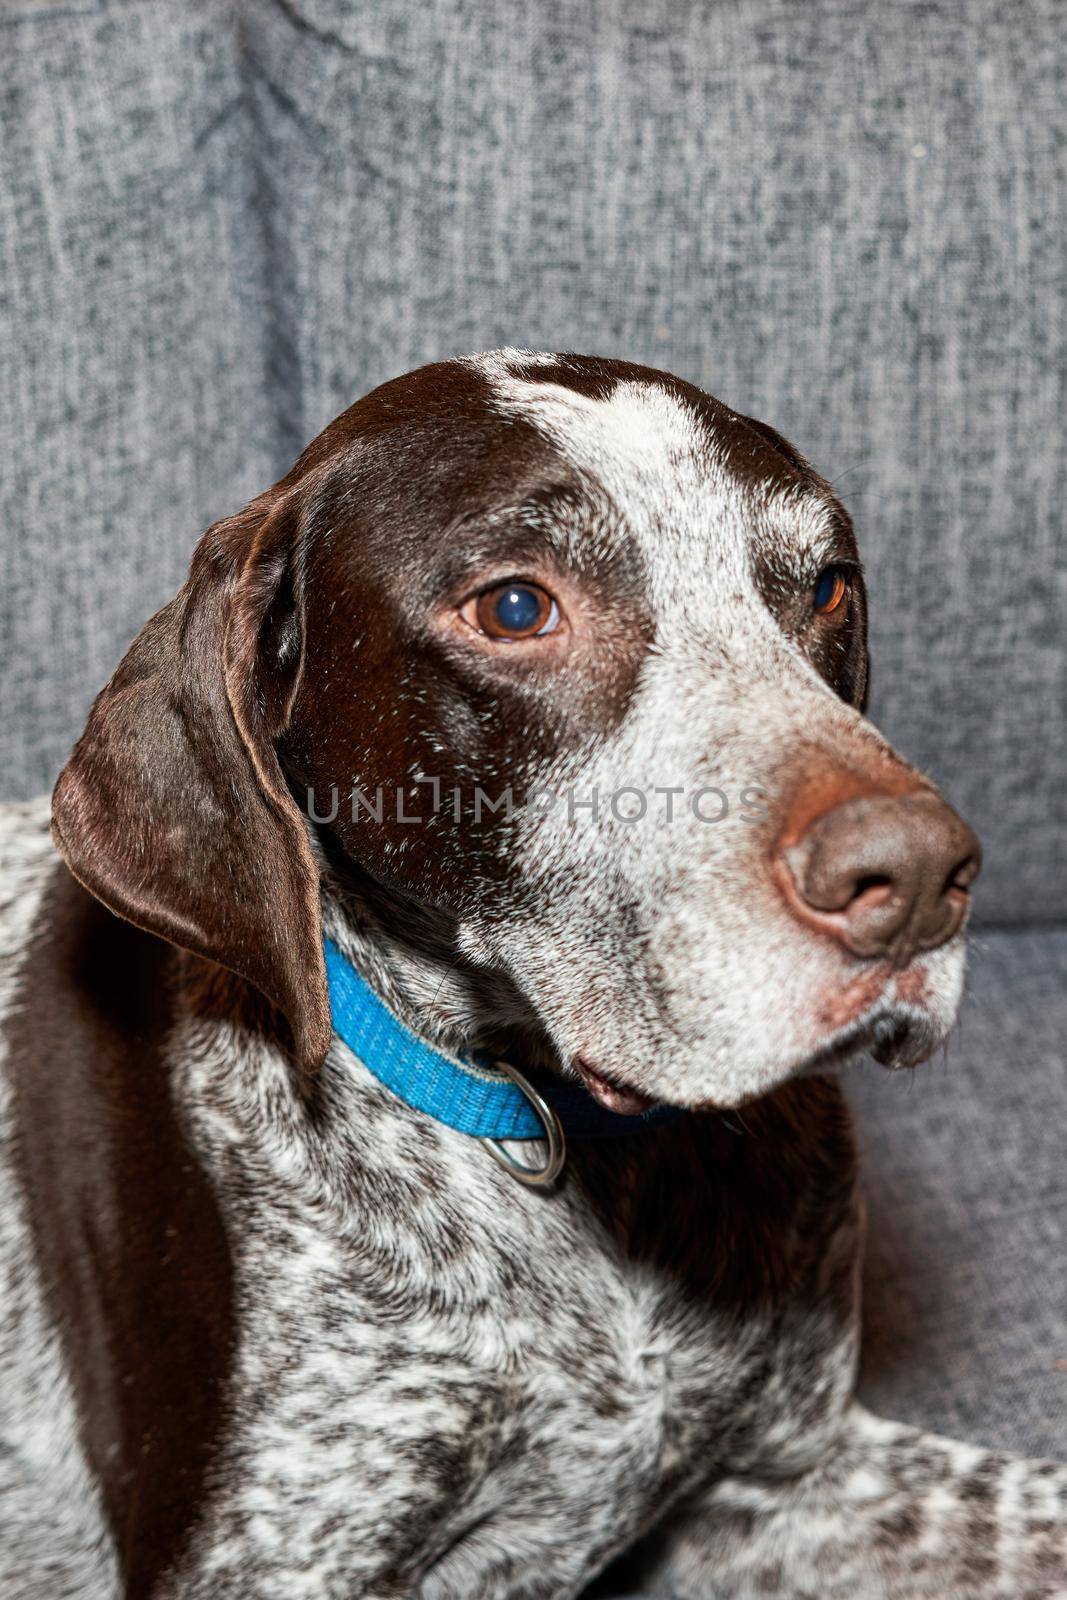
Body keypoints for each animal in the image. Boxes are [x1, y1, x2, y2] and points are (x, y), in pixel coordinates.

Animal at [0, 353, 1062, 1600]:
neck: (559, 1144)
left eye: (825, 585)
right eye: (514, 606)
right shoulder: (270, 1562)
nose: (918, 875)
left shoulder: (786, 1482)